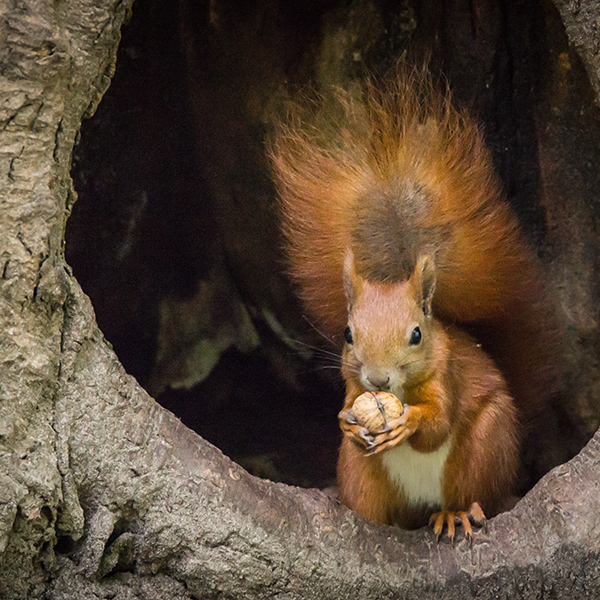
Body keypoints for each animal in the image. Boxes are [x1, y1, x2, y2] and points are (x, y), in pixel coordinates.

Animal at [270, 67, 560, 540]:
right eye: (348, 333)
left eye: (417, 334)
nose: (378, 379)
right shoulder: (353, 385)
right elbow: (349, 408)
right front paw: (347, 421)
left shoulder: (448, 375)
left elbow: (437, 425)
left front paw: (410, 422)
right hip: (362, 476)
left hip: (487, 446)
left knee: (474, 492)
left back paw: (456, 514)